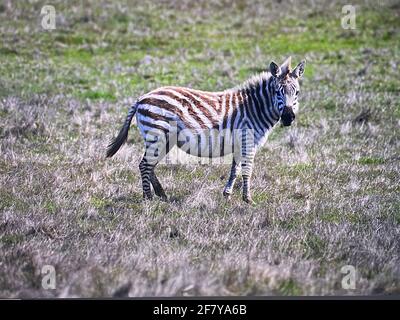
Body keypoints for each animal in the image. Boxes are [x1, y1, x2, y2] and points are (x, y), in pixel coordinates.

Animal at [106, 56, 306, 204]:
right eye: (278, 92)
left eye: (296, 92)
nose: (288, 117)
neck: (254, 107)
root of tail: (141, 98)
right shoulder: (248, 141)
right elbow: (247, 170)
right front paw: (248, 199)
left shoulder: (239, 143)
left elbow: (235, 170)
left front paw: (227, 195)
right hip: (157, 135)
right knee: (145, 165)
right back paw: (148, 198)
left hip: (164, 139)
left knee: (150, 165)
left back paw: (162, 194)